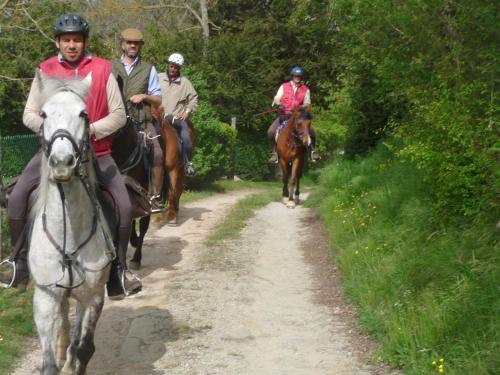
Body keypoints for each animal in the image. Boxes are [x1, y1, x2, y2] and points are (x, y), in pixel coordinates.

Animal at [29, 74, 115, 375]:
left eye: (83, 114)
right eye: (44, 114)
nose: (62, 163)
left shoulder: (93, 297)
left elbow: (84, 349)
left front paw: (72, 361)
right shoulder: (45, 298)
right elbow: (48, 363)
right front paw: (58, 356)